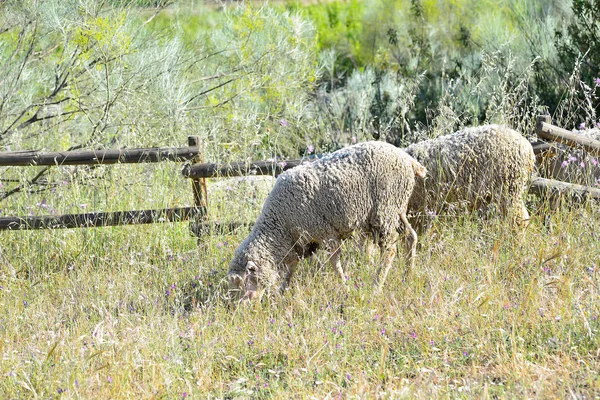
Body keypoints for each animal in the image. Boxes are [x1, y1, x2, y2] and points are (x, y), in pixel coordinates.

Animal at [226, 141, 426, 300]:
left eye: (245, 283)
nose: (243, 307)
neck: (279, 226)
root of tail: (407, 159)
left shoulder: (325, 233)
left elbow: (334, 263)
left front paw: (345, 287)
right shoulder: (300, 243)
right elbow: (292, 268)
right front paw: (282, 291)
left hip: (385, 210)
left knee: (390, 250)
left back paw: (377, 286)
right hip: (397, 208)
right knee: (410, 237)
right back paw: (408, 276)